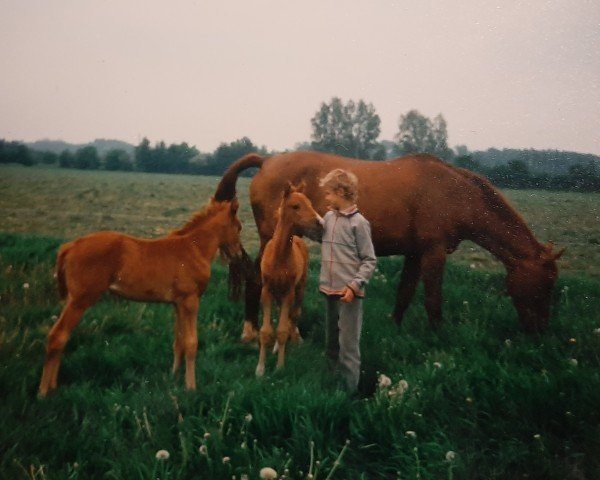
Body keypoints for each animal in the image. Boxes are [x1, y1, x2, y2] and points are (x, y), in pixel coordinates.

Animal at [38, 197, 241, 396]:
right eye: (238, 227)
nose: (238, 255)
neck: (194, 248)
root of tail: (70, 246)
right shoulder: (191, 301)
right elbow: (191, 343)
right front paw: (191, 387)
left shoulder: (178, 304)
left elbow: (179, 341)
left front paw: (174, 377)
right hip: (80, 301)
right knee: (58, 336)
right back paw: (43, 391)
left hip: (73, 301)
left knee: (62, 337)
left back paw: (53, 386)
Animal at [214, 151, 564, 338]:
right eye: (546, 284)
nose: (540, 331)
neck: (453, 193)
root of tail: (267, 160)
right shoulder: (434, 253)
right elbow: (433, 299)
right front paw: (438, 337)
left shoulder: (415, 254)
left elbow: (405, 293)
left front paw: (395, 326)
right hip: (272, 239)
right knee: (255, 278)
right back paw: (250, 331)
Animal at [256, 182, 324, 376]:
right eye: (295, 206)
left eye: (310, 203)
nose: (321, 225)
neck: (279, 257)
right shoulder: (267, 292)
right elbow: (265, 331)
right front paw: (260, 368)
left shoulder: (288, 293)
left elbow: (282, 330)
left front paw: (280, 367)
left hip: (299, 289)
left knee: (294, 315)